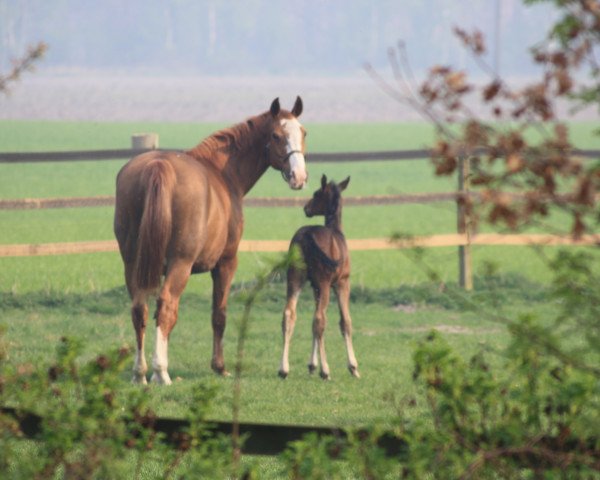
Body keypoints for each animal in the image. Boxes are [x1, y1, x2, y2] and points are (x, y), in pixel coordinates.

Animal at [278, 174, 358, 380]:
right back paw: (326, 370)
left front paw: (312, 364)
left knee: (290, 315)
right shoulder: (342, 283)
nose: (306, 208)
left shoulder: (314, 287)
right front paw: (353, 366)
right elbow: (345, 322)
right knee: (320, 319)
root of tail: (306, 235)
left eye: (315, 194)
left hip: (294, 279)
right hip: (324, 283)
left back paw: (283, 369)